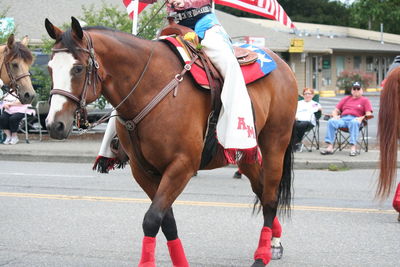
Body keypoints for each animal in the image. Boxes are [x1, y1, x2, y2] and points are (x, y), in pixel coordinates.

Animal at [44, 17, 296, 266]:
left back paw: (263, 254)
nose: (54, 124)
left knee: (270, 196)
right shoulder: (143, 170)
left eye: (77, 68)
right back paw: (274, 242)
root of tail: (281, 63)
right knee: (261, 189)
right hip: (244, 154)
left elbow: (152, 218)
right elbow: (167, 220)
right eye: (50, 68)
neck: (151, 87)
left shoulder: (181, 167)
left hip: (275, 144)